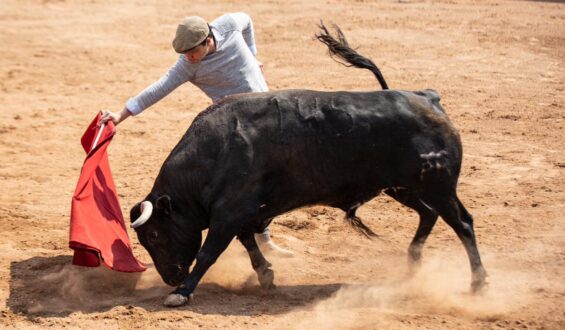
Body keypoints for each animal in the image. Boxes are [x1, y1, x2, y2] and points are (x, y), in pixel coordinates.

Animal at [130, 24, 486, 306]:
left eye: (156, 235)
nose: (171, 277)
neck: (215, 151)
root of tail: (428, 98)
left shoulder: (230, 211)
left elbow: (209, 251)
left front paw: (182, 293)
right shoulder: (240, 211)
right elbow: (247, 242)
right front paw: (266, 275)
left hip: (437, 186)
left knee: (462, 223)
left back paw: (478, 283)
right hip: (402, 186)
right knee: (429, 214)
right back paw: (412, 265)